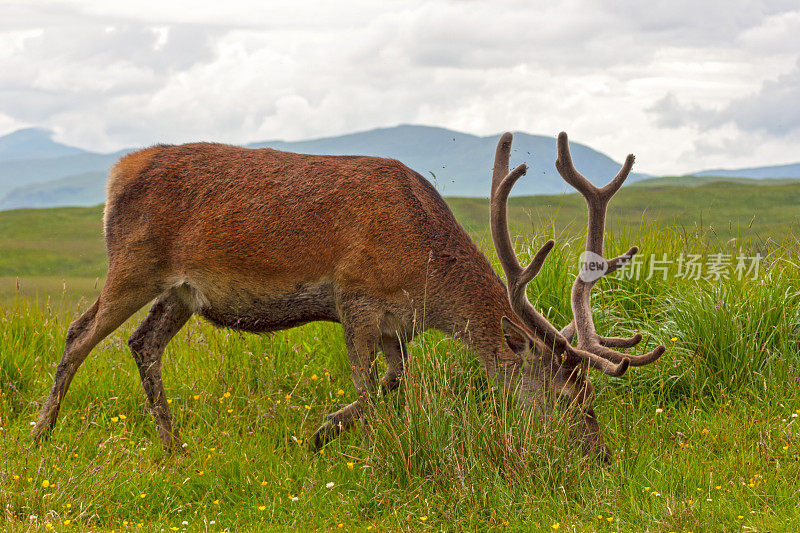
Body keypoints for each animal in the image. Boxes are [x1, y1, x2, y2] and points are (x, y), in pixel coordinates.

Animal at [31, 130, 664, 462]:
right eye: (562, 393)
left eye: (589, 392)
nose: (601, 453)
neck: (428, 279)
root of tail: (117, 173)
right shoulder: (355, 299)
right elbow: (366, 385)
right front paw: (344, 440)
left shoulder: (394, 326)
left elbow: (392, 381)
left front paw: (326, 430)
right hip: (132, 265)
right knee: (79, 332)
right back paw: (42, 433)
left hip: (183, 293)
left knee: (143, 342)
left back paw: (174, 446)